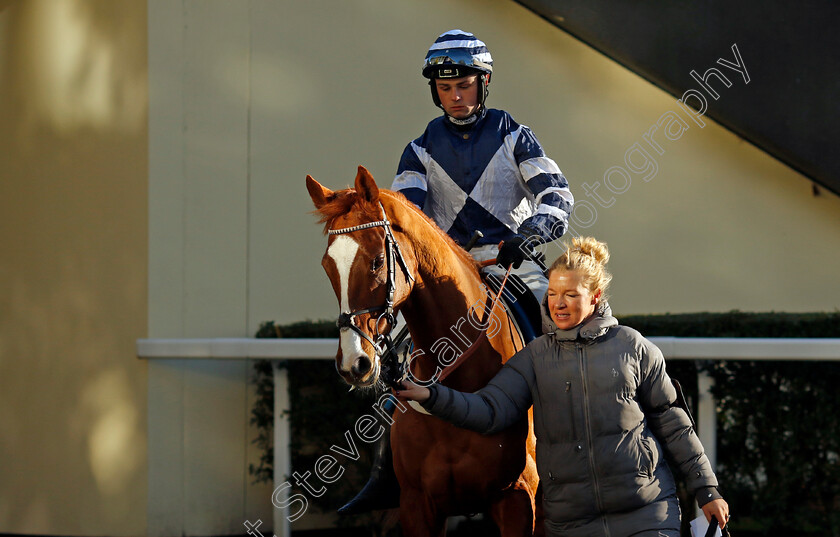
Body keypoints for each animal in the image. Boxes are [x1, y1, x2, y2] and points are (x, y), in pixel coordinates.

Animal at [306, 165, 540, 532]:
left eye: (376, 261)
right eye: (328, 266)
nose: (354, 363)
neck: (461, 390)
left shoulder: (518, 498)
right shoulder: (416, 503)